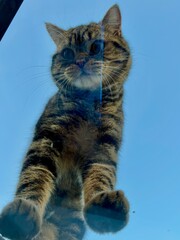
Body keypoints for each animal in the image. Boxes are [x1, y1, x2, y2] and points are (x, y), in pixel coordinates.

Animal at [0, 4, 132, 240]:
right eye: (67, 53)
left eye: (96, 46)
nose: (79, 61)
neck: (88, 102)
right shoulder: (46, 139)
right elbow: (34, 176)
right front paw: (23, 210)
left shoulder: (104, 147)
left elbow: (101, 175)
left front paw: (102, 204)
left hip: (72, 225)